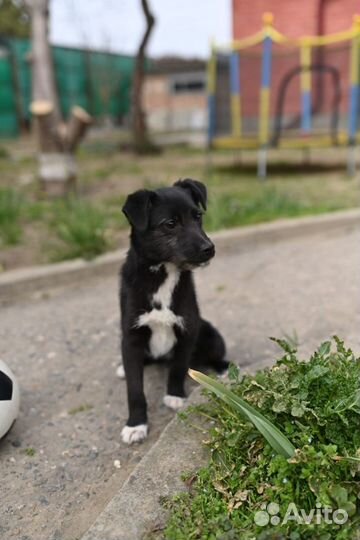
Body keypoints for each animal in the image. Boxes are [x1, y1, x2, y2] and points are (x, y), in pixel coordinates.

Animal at [118, 179, 226, 446]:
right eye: (170, 223)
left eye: (198, 216)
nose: (210, 249)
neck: (164, 273)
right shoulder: (131, 336)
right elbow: (135, 390)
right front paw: (135, 425)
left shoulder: (188, 329)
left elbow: (178, 367)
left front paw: (175, 396)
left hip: (211, 333)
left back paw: (222, 369)